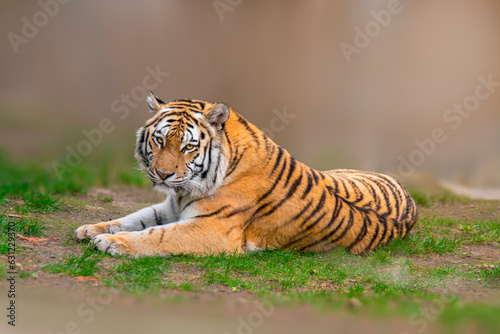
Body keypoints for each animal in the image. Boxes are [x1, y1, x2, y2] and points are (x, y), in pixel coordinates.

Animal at [74, 92, 418, 258]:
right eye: (159, 140)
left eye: (188, 147)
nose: (162, 173)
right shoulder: (171, 206)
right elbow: (135, 218)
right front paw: (91, 229)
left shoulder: (211, 228)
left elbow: (156, 235)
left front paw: (111, 242)